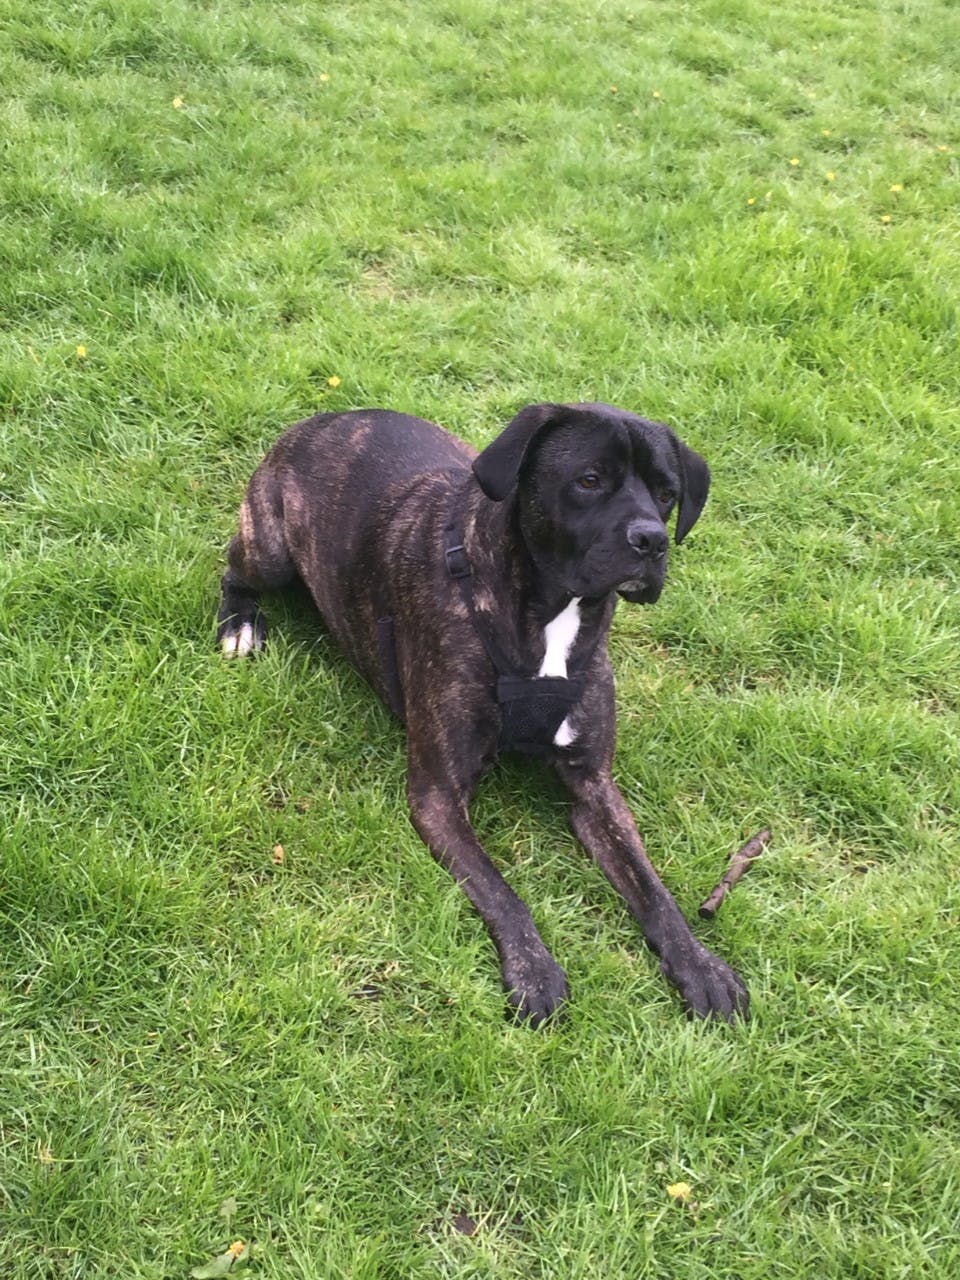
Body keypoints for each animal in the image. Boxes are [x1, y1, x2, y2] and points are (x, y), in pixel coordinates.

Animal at [217, 402, 749, 1024]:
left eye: (666, 494)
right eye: (589, 480)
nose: (652, 540)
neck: (549, 617)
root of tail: (322, 417)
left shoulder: (595, 789)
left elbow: (652, 889)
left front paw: (700, 966)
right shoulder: (438, 795)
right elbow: (500, 890)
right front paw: (533, 969)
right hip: (270, 552)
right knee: (232, 567)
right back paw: (239, 624)